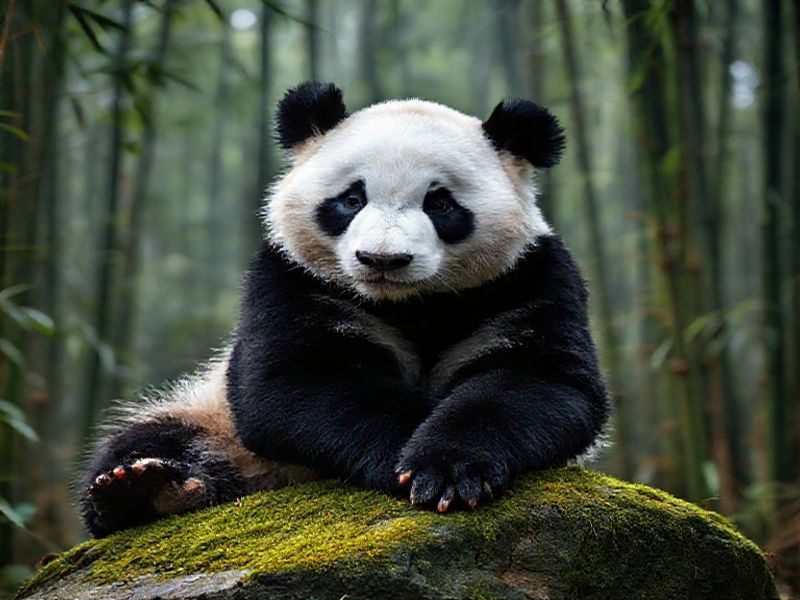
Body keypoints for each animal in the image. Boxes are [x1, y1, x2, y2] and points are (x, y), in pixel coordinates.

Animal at [79, 82, 609, 538]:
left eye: (440, 204)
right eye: (352, 198)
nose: (383, 259)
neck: (410, 306)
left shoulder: (527, 280)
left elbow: (540, 381)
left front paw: (447, 468)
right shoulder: (292, 279)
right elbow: (297, 382)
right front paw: (411, 462)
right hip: (212, 417)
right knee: (149, 439)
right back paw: (146, 488)